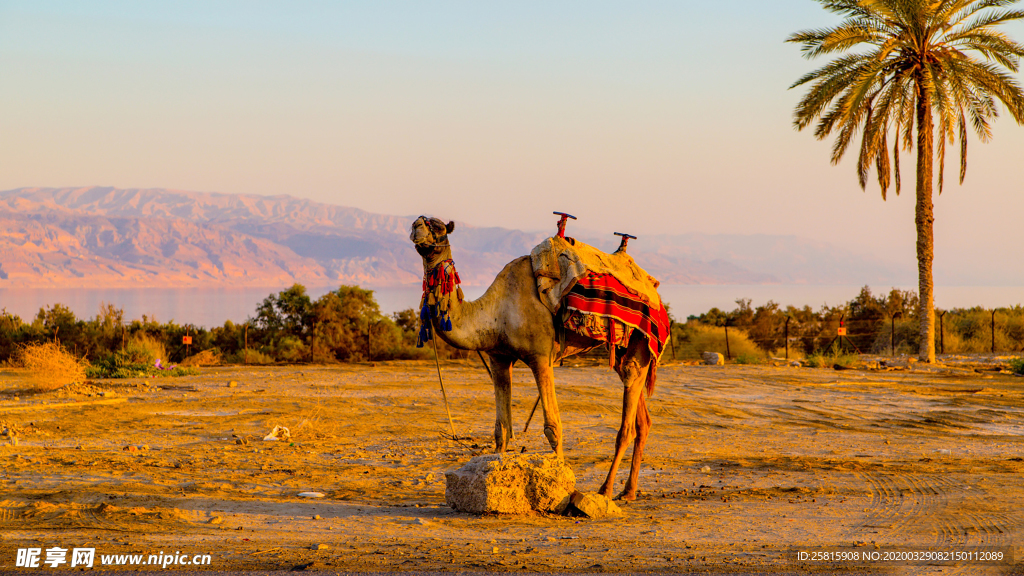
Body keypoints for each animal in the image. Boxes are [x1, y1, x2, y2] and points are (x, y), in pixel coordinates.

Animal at [411, 215, 659, 498]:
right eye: (419, 222)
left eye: (439, 227)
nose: (417, 227)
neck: (495, 312)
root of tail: (654, 291)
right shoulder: (498, 357)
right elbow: (501, 429)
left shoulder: (540, 356)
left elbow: (553, 427)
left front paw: (561, 486)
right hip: (622, 348)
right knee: (642, 418)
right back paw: (628, 491)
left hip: (641, 338)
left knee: (628, 405)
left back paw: (606, 490)